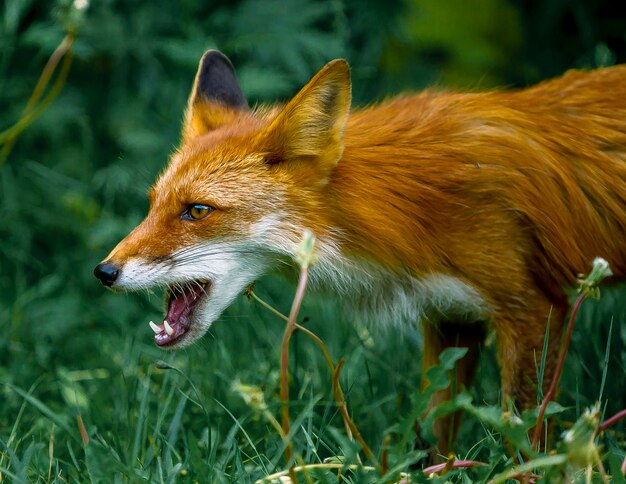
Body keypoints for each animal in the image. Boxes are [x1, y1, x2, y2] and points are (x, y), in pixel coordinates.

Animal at [94, 50, 624, 454]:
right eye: (152, 205)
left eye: (197, 210)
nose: (103, 272)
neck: (412, 207)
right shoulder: (451, 316)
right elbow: (437, 431)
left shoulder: (533, 309)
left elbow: (528, 434)